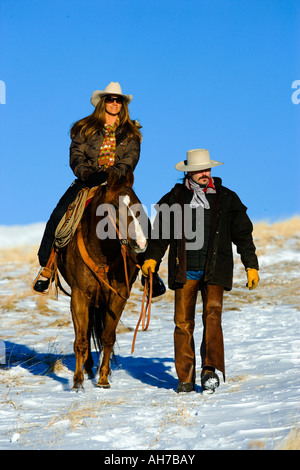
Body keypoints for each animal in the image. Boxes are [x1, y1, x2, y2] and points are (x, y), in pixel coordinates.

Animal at [57, 171, 148, 392]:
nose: (140, 243)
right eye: (115, 206)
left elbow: (108, 337)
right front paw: (77, 383)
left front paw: (104, 379)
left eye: (138, 204)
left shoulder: (118, 296)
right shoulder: (79, 296)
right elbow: (81, 340)